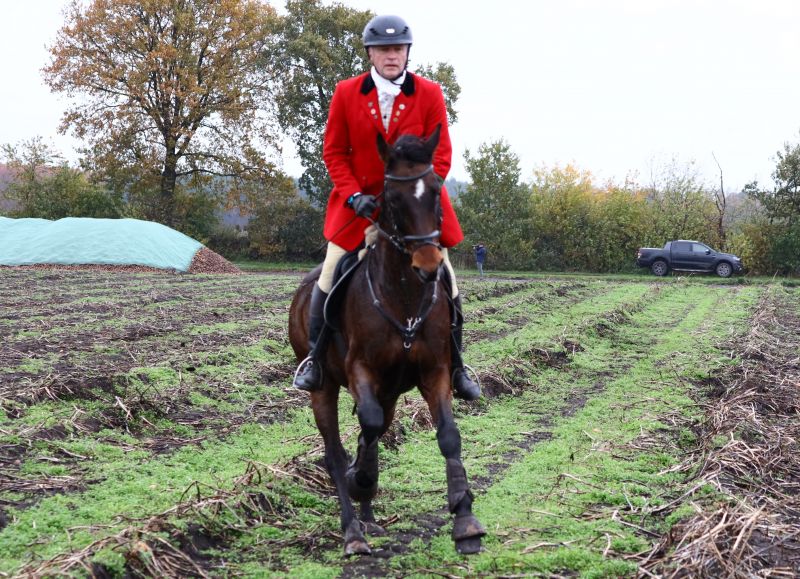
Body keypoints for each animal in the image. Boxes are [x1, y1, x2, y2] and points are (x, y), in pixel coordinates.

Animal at [288, 125, 485, 556]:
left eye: (437, 190)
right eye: (391, 198)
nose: (429, 265)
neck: (404, 296)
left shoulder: (434, 371)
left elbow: (447, 436)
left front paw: (464, 518)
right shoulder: (361, 371)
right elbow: (367, 427)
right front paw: (360, 479)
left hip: (391, 390)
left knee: (374, 432)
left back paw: (369, 516)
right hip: (324, 388)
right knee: (335, 451)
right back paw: (353, 529)